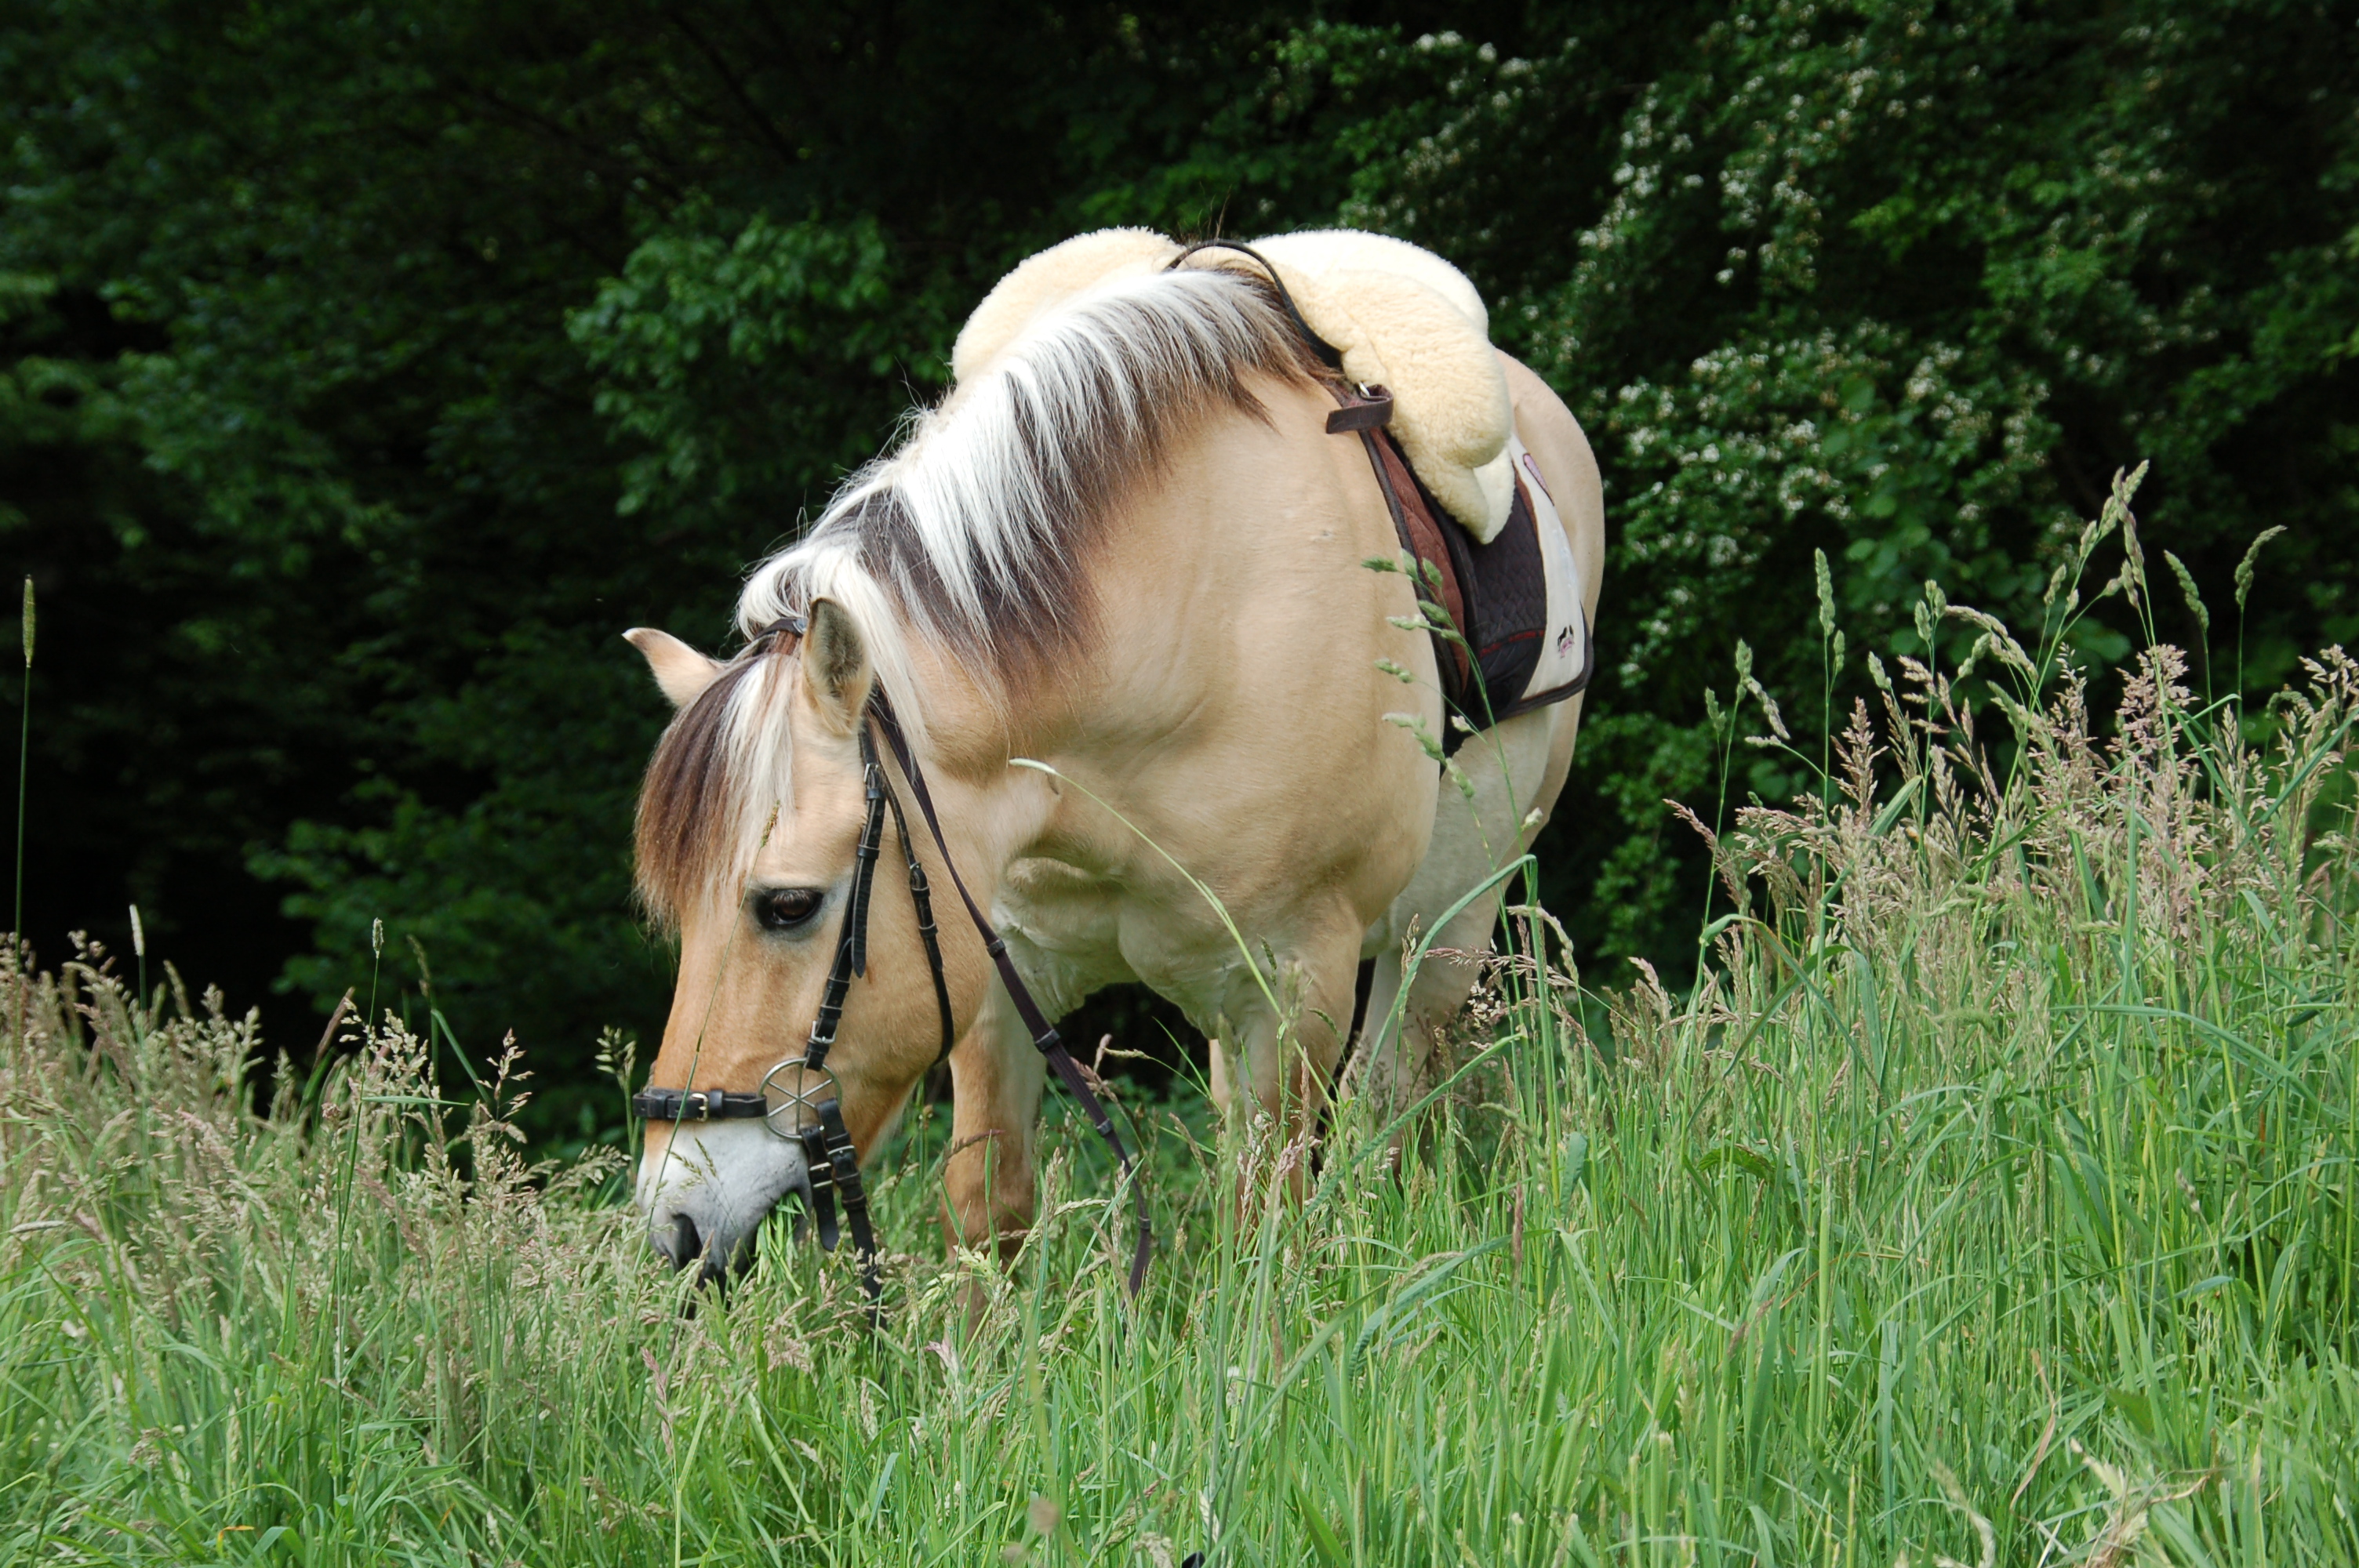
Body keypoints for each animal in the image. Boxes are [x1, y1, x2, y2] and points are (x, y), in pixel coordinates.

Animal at [622, 257, 1604, 1281]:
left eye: (788, 905)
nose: (674, 1216)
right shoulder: (997, 979)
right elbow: (988, 1215)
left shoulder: (1296, 985)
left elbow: (1264, 1233)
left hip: (1445, 930)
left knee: (1387, 1112)